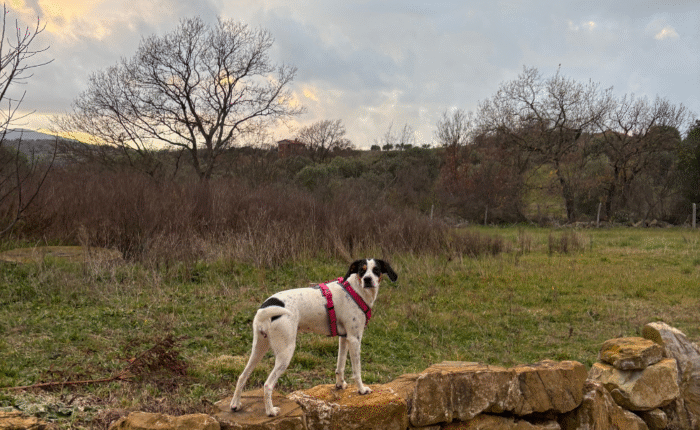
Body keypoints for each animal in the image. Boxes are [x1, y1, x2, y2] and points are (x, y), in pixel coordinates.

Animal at [230, 258, 398, 417]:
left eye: (376, 270)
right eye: (362, 271)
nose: (368, 279)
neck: (355, 290)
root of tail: (264, 308)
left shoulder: (344, 338)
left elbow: (340, 366)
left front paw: (340, 385)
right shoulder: (355, 339)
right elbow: (357, 371)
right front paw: (362, 390)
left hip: (259, 348)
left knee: (242, 376)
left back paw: (235, 404)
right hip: (285, 352)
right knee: (267, 384)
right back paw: (271, 411)